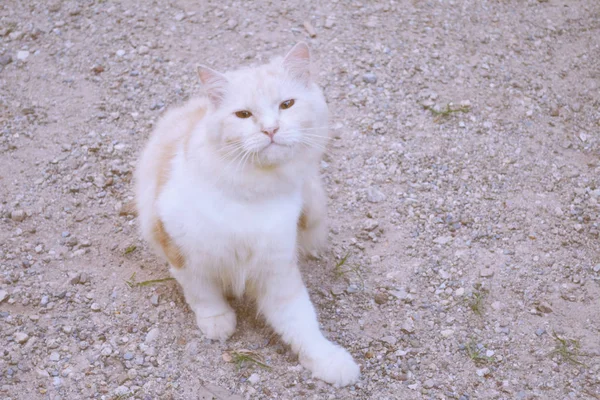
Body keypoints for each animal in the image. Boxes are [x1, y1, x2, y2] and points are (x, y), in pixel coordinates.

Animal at [135, 43, 360, 388]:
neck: (251, 193)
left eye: (286, 104)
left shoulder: (277, 270)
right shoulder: (182, 250)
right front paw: (218, 322)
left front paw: (327, 361)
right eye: (243, 115)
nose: (271, 129)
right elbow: (202, 293)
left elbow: (302, 323)